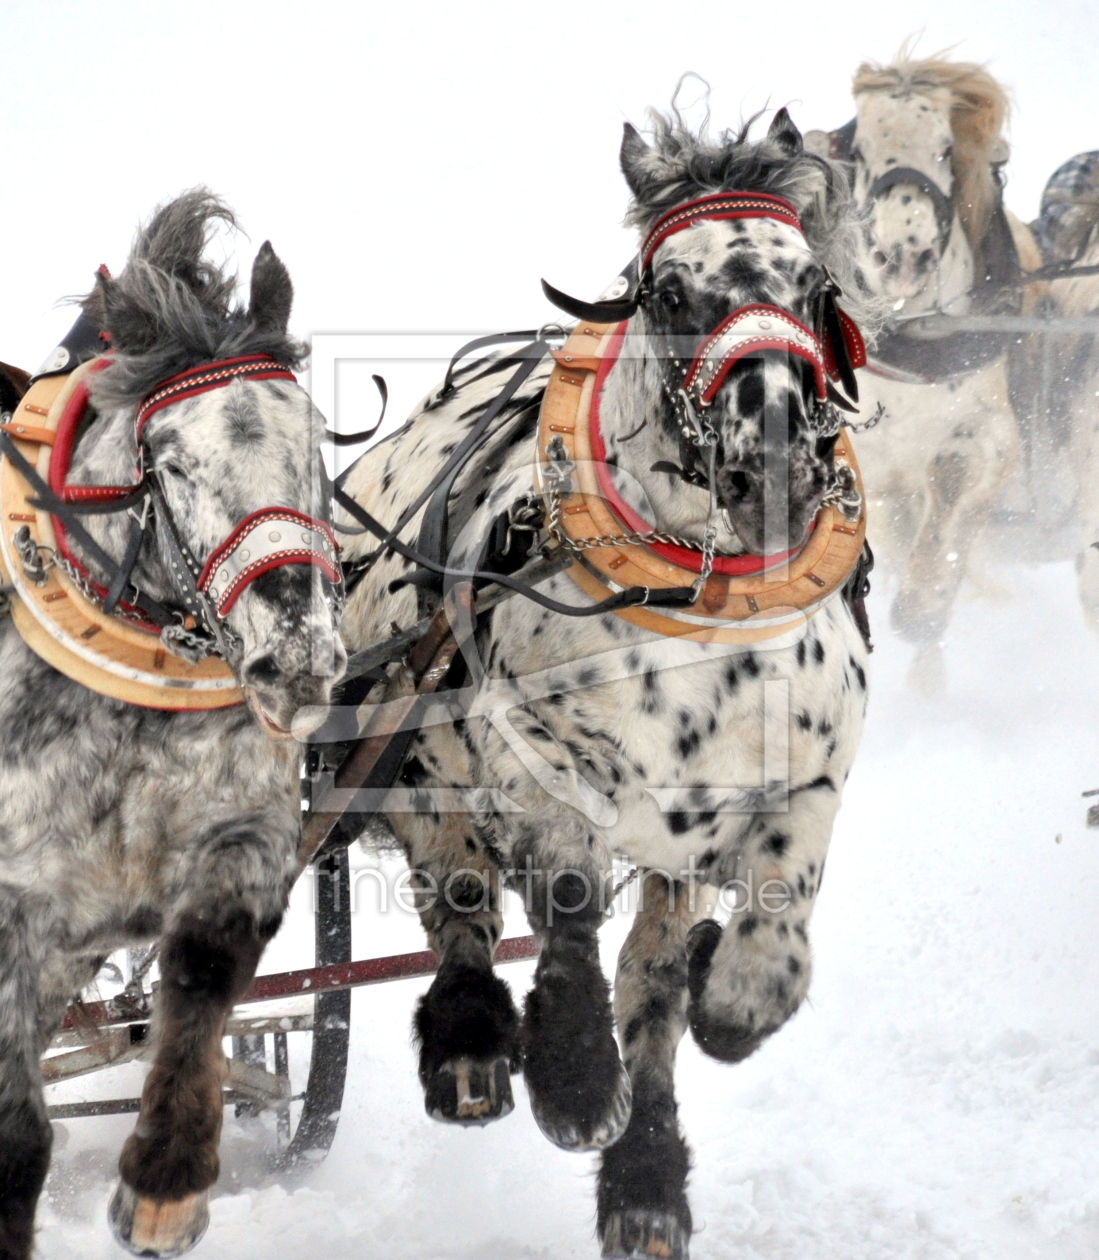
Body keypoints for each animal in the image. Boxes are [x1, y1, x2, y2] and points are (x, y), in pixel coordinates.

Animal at [335, 108, 877, 1260]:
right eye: (667, 292)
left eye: (812, 282)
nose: (775, 462)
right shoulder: (539, 759)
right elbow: (569, 904)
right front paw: (575, 1076)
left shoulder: (795, 779)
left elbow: (738, 950)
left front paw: (727, 1010)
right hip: (408, 749)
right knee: (459, 896)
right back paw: (471, 1044)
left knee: (650, 976)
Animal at [811, 54, 1043, 695]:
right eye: (861, 149)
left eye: (944, 148)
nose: (903, 254)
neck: (916, 330)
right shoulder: (871, 467)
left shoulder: (993, 435)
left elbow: (954, 470)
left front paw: (922, 609)